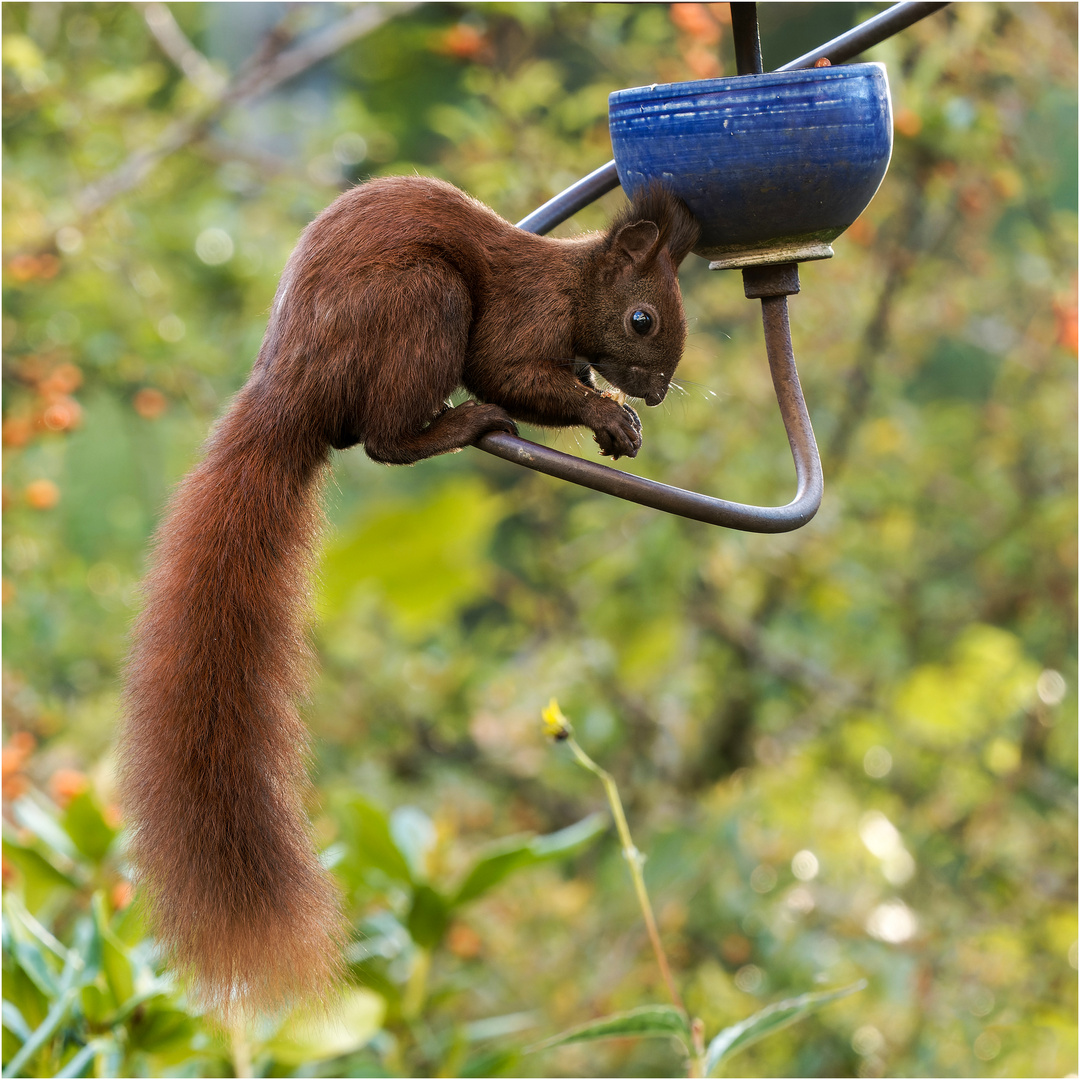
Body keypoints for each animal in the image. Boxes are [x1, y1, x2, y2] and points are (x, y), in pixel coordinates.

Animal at [118, 174, 699, 1010]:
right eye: (641, 318)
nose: (653, 395)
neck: (569, 284)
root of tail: (290, 391)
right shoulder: (518, 322)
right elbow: (509, 372)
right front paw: (605, 413)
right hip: (422, 303)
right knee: (384, 439)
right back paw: (457, 424)